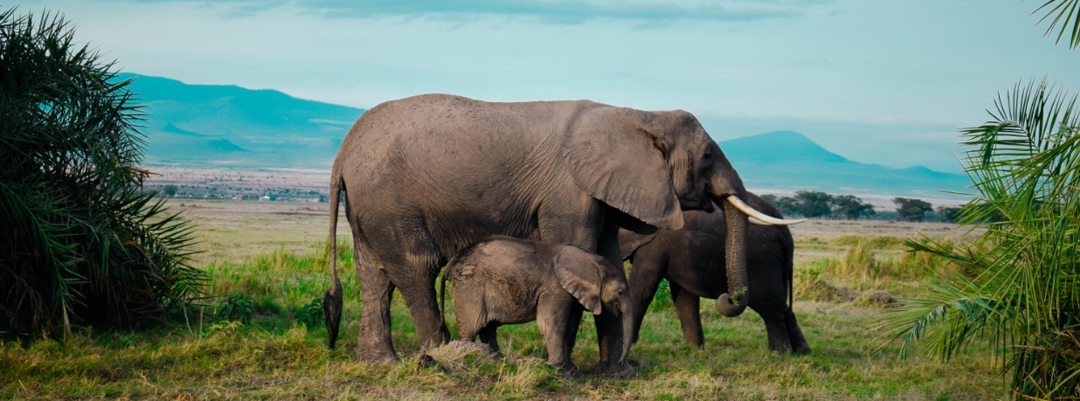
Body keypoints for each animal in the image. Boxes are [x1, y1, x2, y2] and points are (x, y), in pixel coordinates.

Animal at [436, 235, 630, 376]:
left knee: (488, 327)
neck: (591, 259)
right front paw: (556, 369)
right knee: (473, 325)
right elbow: (550, 323)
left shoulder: (571, 293)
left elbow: (569, 326)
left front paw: (570, 371)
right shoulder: (555, 287)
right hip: (470, 285)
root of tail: (451, 265)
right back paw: (470, 355)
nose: (621, 361)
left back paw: (498, 360)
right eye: (620, 292)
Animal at [617, 194, 812, 354]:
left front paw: (628, 346)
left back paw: (779, 353)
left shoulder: (654, 246)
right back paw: (802, 352)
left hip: (762, 261)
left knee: (770, 305)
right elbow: (684, 298)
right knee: (782, 305)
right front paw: (693, 349)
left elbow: (642, 291)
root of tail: (786, 235)